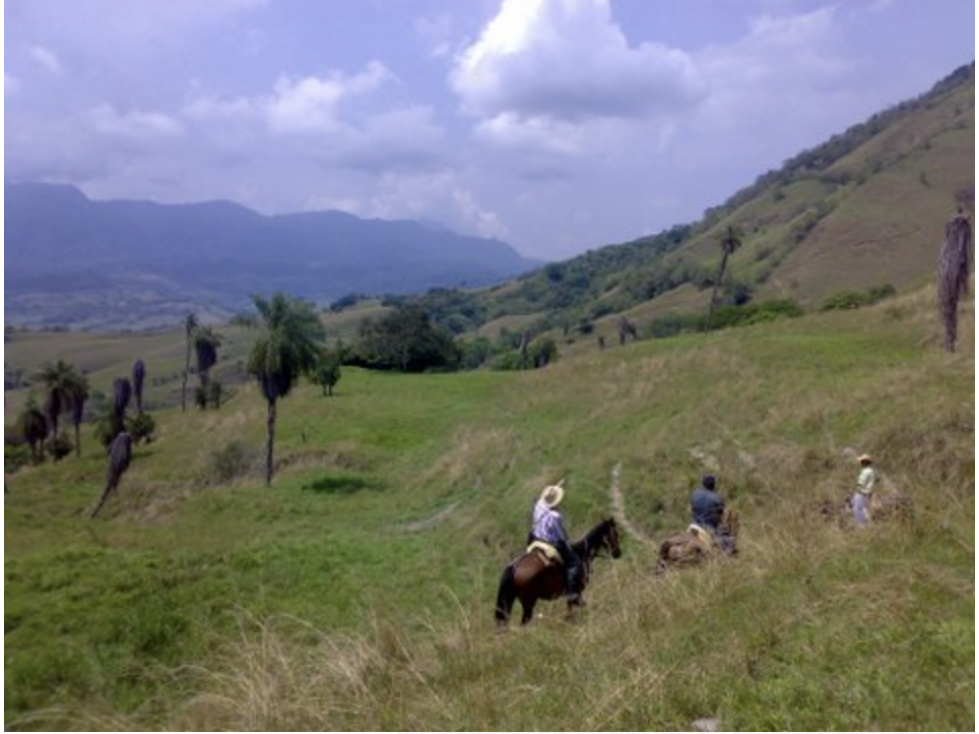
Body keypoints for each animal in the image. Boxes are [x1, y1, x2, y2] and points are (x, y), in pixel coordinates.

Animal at [494, 520, 624, 628]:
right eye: (616, 533)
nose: (618, 553)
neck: (581, 552)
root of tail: (515, 566)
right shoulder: (576, 592)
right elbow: (574, 608)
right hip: (529, 602)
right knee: (524, 622)